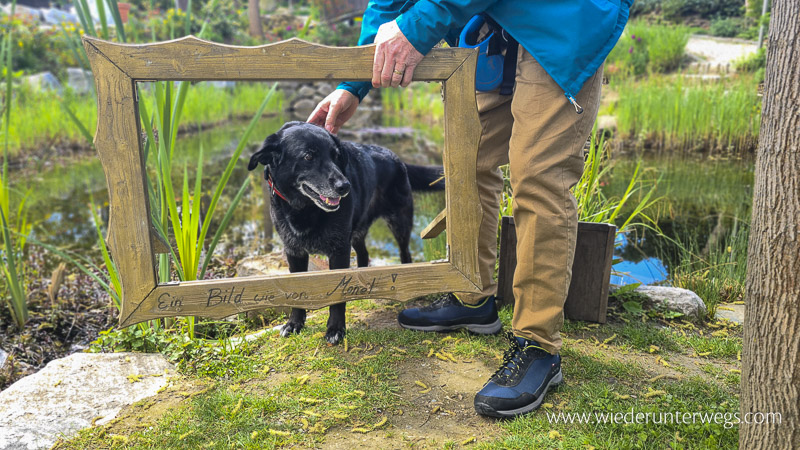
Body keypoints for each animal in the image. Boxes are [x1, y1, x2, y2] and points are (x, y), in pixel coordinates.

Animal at [247, 122, 444, 344]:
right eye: (308, 156)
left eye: (336, 156)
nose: (345, 186)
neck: (304, 209)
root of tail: (396, 157)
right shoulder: (294, 251)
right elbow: (295, 290)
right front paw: (294, 323)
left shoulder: (339, 250)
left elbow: (338, 295)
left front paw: (335, 329)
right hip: (356, 233)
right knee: (364, 255)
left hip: (399, 222)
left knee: (405, 254)